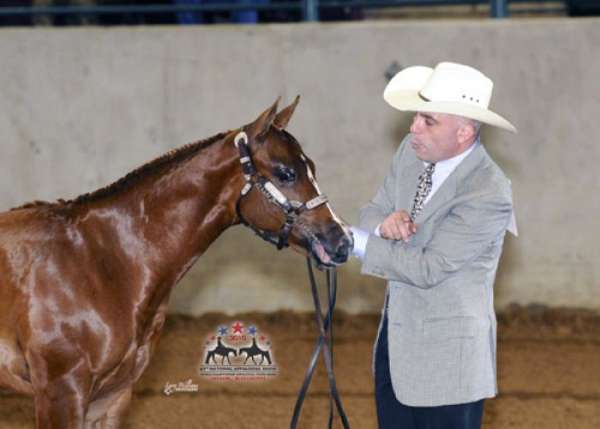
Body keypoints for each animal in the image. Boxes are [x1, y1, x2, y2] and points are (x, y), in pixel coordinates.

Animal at [0, 98, 352, 426]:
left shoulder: (112, 398)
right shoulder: (61, 392)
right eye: (286, 173)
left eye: (311, 168)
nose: (341, 241)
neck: (102, 261)